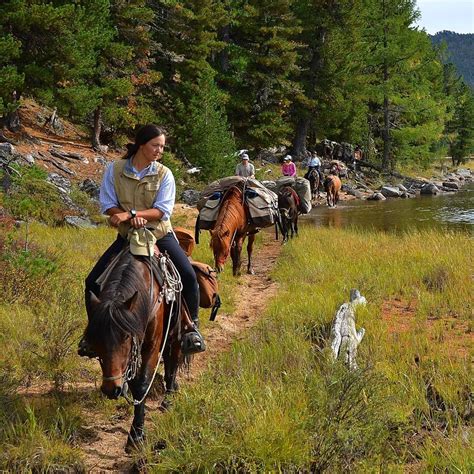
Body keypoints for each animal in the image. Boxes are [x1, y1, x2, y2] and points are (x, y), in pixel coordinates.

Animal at [83, 250, 183, 450]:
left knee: (173, 360)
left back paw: (168, 398)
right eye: (97, 339)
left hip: (175, 332)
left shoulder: (151, 345)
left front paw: (136, 436)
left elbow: (142, 384)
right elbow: (134, 382)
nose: (111, 390)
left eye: (126, 336)